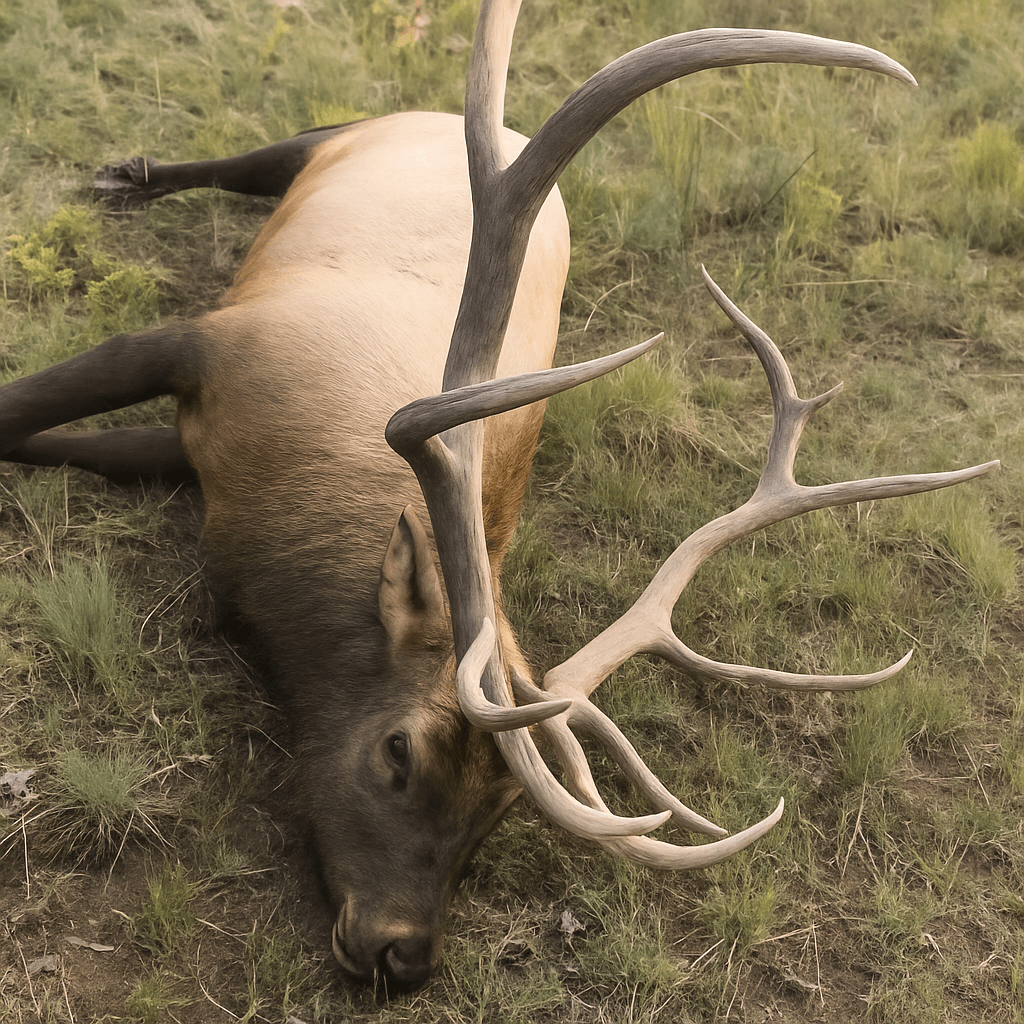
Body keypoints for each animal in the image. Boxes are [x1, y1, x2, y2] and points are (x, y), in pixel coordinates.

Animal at [1, 0, 996, 993]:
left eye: (501, 808)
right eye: (399, 750)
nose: (402, 954)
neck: (276, 511)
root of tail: (501, 130)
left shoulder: (189, 447)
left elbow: (66, 447)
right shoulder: (203, 345)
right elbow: (20, 408)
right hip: (347, 133)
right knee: (260, 156)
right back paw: (130, 173)